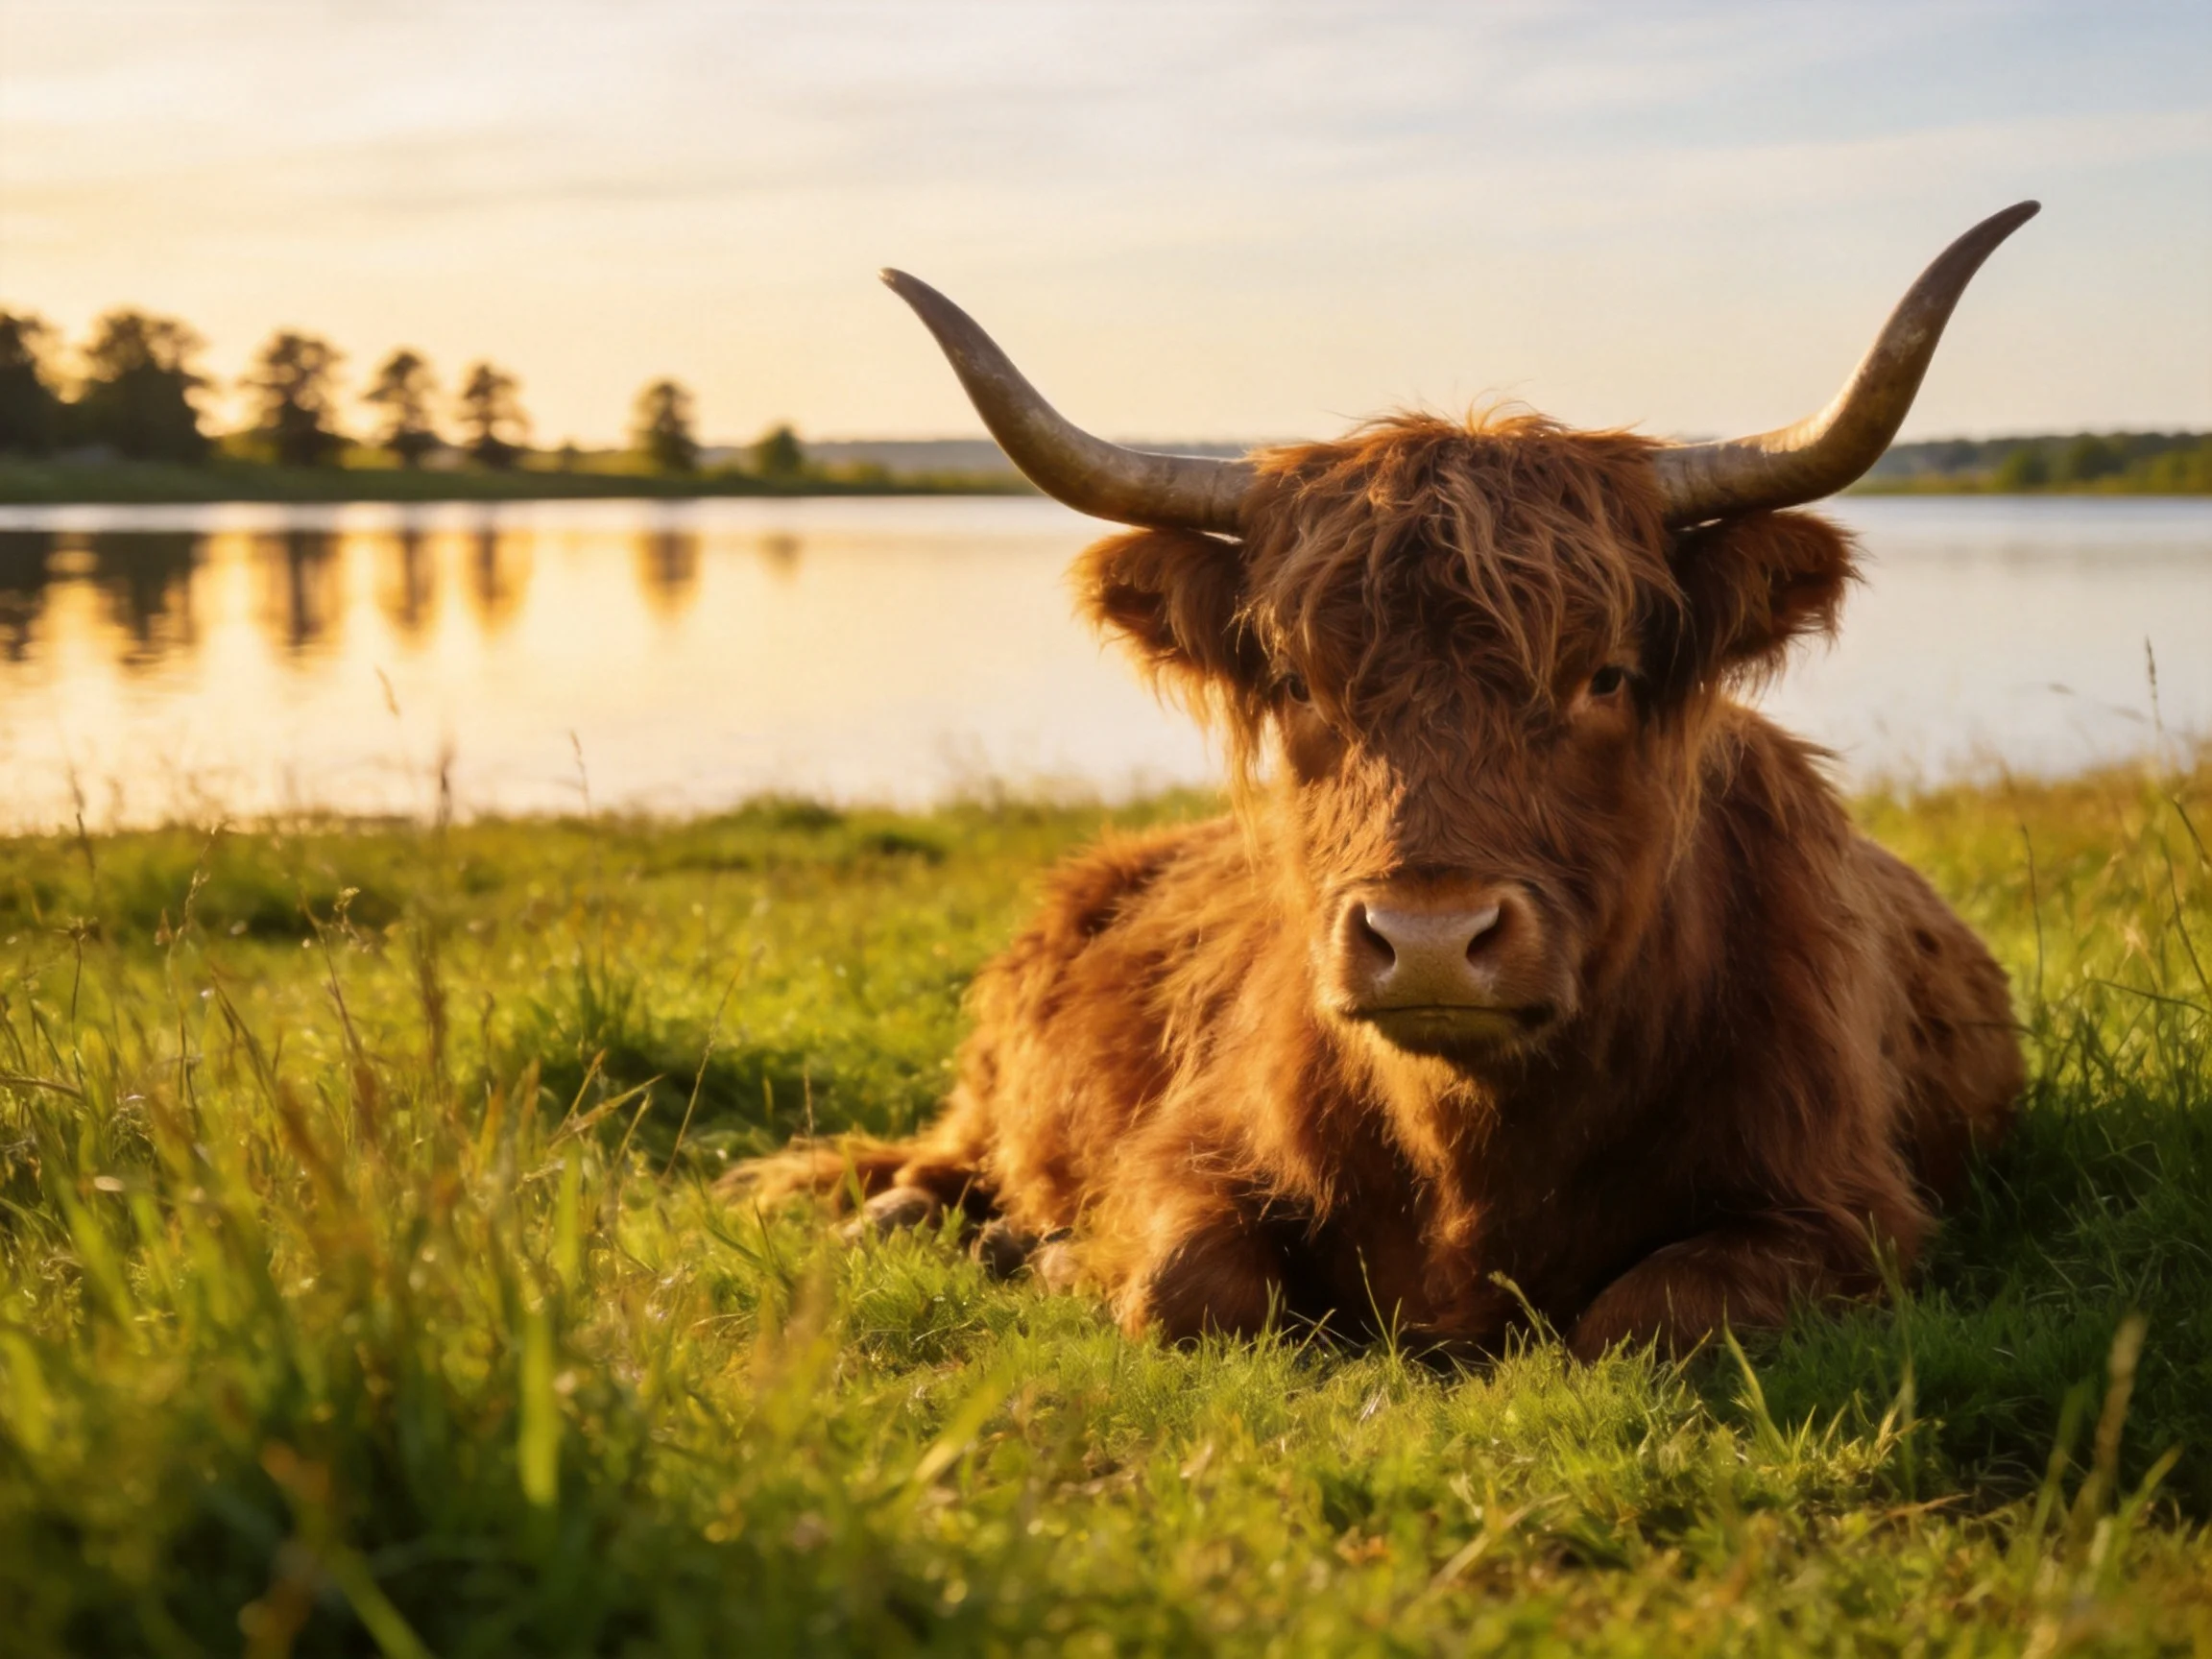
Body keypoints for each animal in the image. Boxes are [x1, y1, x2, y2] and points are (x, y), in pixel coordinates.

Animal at [741, 203, 2035, 1360]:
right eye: (1300, 684)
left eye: (1606, 674)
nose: (1427, 940)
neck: (1471, 1158)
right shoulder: (1190, 1149)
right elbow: (1190, 1285)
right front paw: (1061, 1253)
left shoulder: (1845, 1208)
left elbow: (1646, 1317)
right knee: (935, 1161)